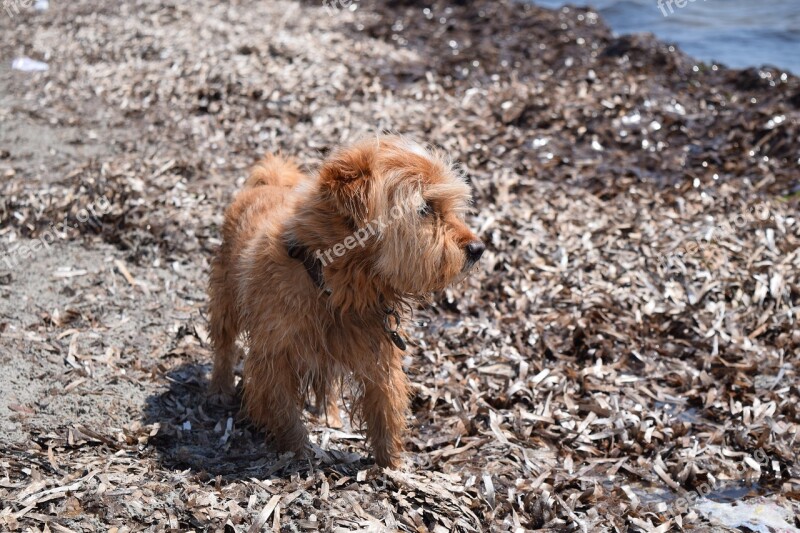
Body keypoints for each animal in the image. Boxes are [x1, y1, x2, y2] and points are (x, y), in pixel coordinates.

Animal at [208, 135, 482, 468]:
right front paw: (300, 452)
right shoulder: (274, 360)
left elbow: (385, 409)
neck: (336, 284)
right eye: (425, 208)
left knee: (327, 381)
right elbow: (284, 411)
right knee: (224, 343)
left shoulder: (378, 356)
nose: (478, 248)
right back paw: (219, 387)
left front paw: (393, 466)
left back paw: (330, 412)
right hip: (225, 297)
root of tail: (268, 184)